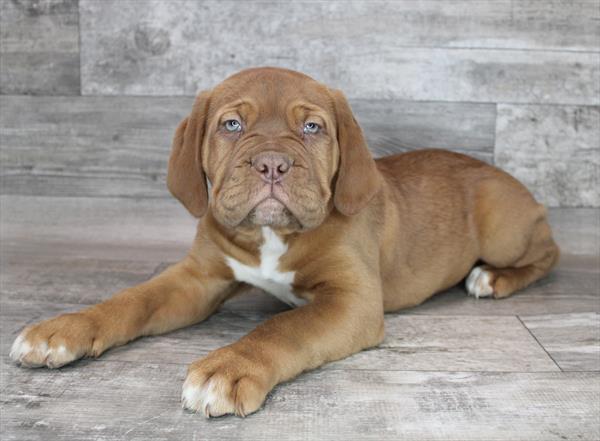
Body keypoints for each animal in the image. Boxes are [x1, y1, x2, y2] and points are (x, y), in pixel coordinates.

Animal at [9, 66, 560, 416]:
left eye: (312, 127)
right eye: (232, 124)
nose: (273, 162)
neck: (271, 234)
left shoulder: (351, 300)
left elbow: (285, 327)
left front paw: (228, 368)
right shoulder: (198, 278)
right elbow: (131, 300)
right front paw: (63, 328)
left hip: (504, 227)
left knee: (548, 250)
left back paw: (493, 278)